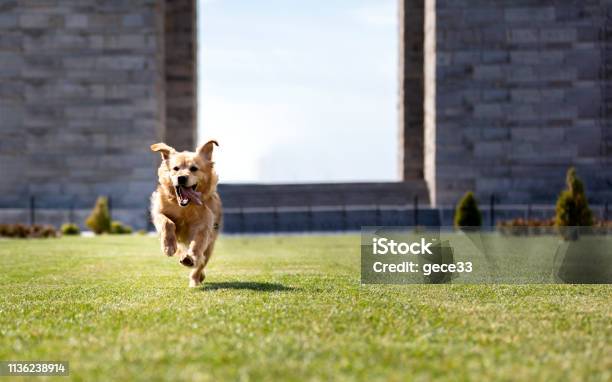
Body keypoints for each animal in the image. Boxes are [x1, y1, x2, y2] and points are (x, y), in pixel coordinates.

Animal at [149, 140, 222, 286]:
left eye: (193, 168)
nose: (181, 178)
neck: (185, 208)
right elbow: (167, 222)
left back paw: (194, 277)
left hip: (210, 245)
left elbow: (197, 243)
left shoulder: (204, 225)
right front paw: (168, 246)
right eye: (176, 168)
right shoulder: (158, 212)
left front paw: (191, 257)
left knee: (200, 263)